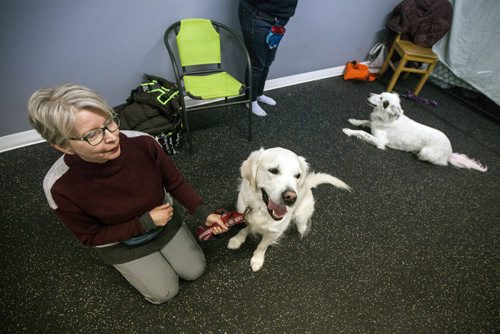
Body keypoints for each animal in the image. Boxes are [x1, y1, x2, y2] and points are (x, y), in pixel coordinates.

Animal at [342, 92, 486, 172]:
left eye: (382, 100)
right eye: (379, 93)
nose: (368, 94)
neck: (385, 118)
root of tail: (449, 153)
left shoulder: (380, 142)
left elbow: (362, 132)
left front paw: (348, 130)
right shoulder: (373, 124)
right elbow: (365, 121)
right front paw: (354, 121)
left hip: (426, 152)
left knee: (439, 163)